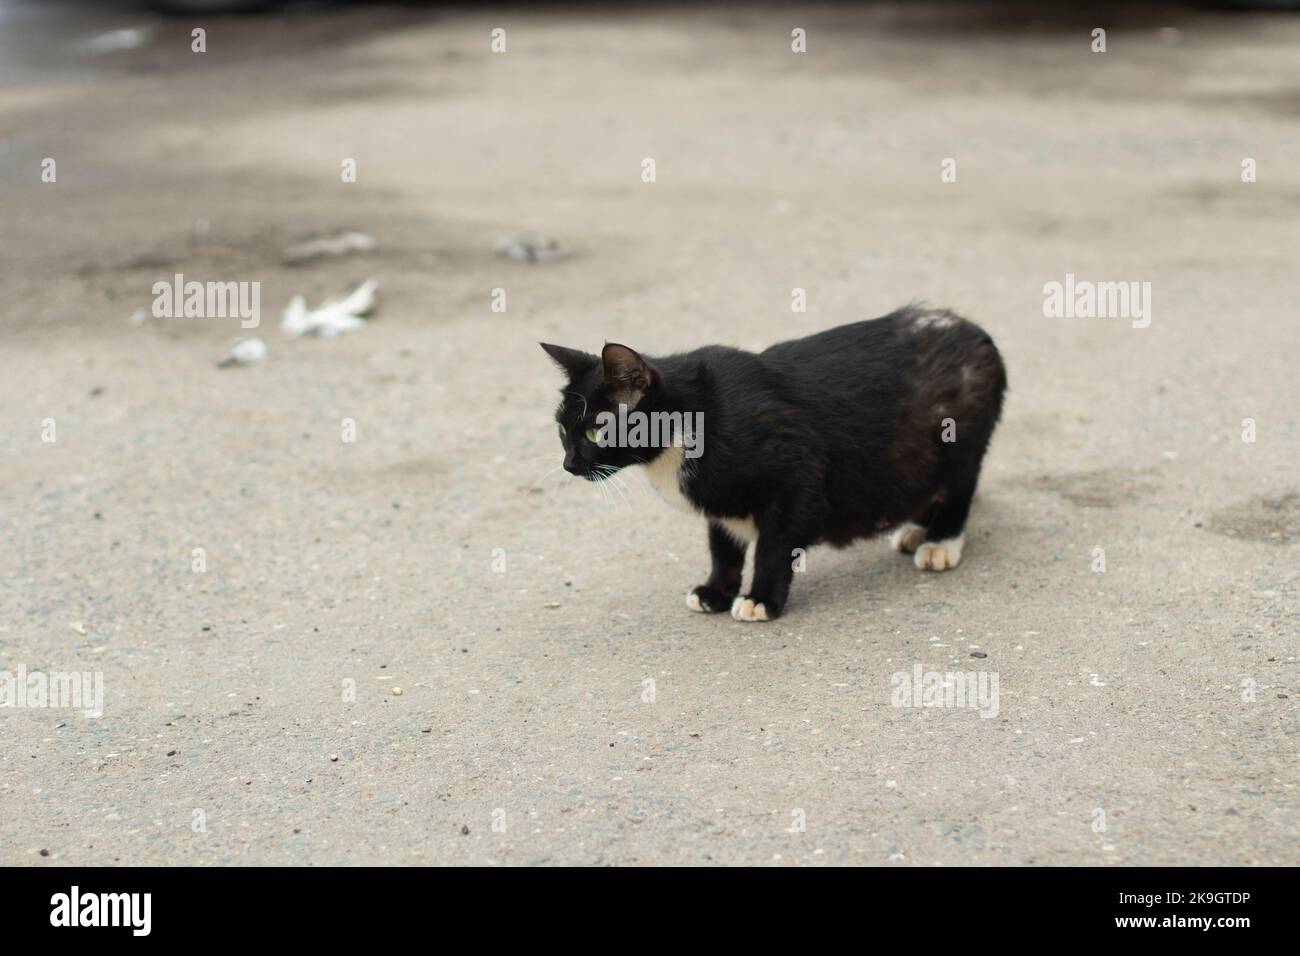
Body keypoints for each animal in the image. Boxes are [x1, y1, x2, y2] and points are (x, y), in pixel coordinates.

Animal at [538, 303, 1003, 624]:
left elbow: (774, 545)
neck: (688, 425)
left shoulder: (796, 476)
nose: (568, 464)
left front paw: (761, 598)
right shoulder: (721, 500)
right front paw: (716, 592)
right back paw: (915, 528)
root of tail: (973, 329)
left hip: (957, 443)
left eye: (595, 432)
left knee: (959, 489)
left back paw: (940, 541)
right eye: (561, 429)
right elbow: (723, 547)